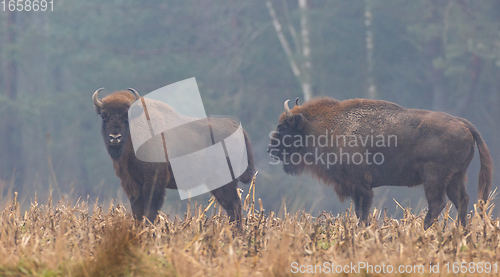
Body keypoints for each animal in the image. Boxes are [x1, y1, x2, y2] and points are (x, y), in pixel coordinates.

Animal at [94, 88, 256, 222]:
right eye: (103, 116)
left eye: (126, 116)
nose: (115, 137)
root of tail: (237, 128)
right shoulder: (131, 183)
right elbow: (138, 212)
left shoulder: (154, 182)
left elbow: (150, 211)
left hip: (225, 181)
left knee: (234, 206)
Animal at [270, 97, 492, 229]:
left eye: (282, 127)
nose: (270, 149)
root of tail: (464, 124)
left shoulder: (360, 185)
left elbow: (362, 212)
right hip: (455, 177)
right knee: (461, 200)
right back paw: (461, 232)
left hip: (434, 179)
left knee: (437, 204)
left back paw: (423, 230)